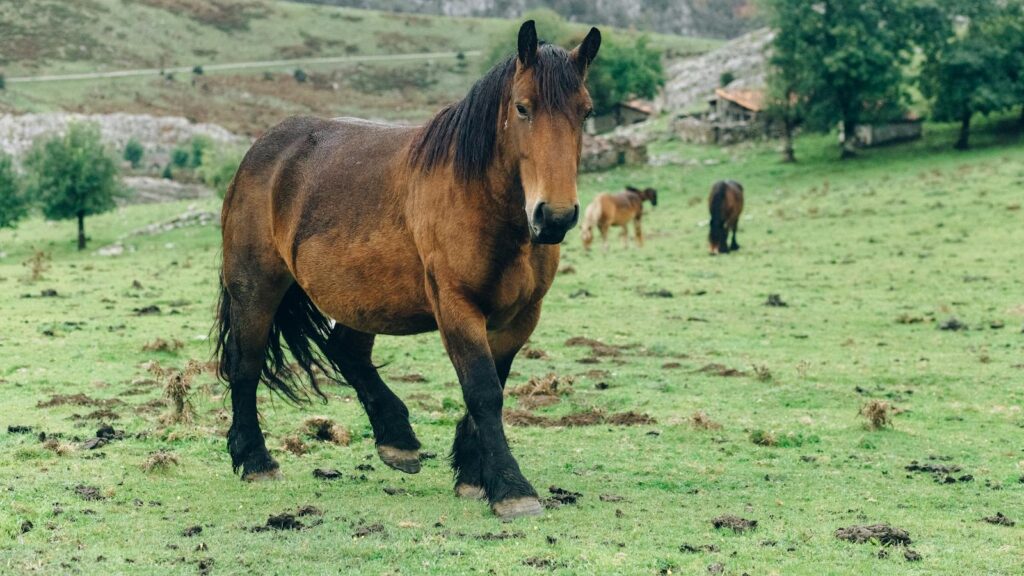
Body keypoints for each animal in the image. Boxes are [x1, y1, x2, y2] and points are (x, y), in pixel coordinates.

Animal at [214, 21, 601, 520]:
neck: (481, 202)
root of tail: (262, 150)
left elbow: (494, 385)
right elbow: (483, 390)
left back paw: (397, 440)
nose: (554, 217)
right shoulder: (456, 307)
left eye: (586, 112)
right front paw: (511, 488)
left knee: (345, 350)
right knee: (246, 363)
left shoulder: (521, 316)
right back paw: (256, 460)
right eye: (523, 107)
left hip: (364, 295)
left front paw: (474, 475)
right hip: (257, 288)